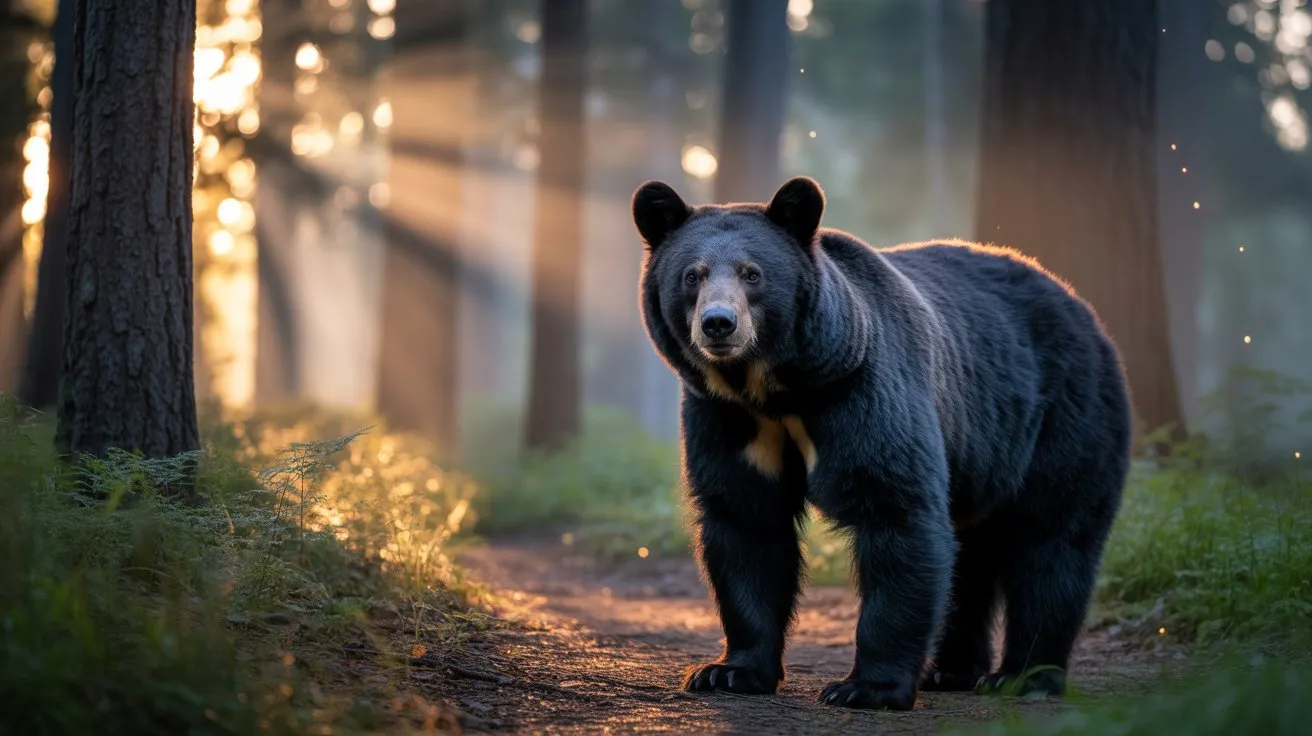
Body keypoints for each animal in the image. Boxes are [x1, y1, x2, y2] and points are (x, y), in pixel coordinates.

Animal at [630, 175, 1132, 710]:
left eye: (753, 274)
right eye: (692, 276)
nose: (719, 324)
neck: (774, 388)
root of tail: (1082, 307)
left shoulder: (862, 386)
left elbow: (894, 508)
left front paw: (865, 687)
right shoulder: (729, 419)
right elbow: (745, 522)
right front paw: (727, 671)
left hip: (1064, 415)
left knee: (1052, 540)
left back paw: (1023, 676)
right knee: (972, 557)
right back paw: (951, 670)